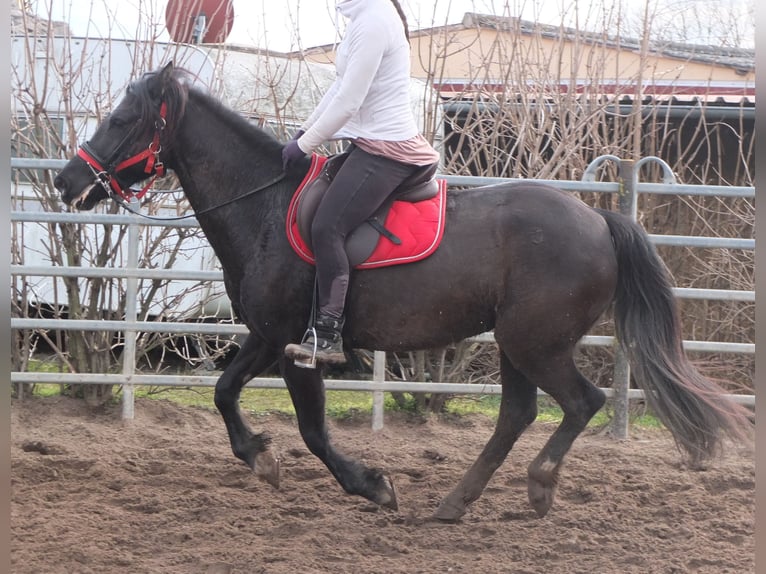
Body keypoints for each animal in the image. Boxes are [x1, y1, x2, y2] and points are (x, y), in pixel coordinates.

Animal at [57, 65, 752, 524]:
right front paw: (260, 457)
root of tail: (600, 220)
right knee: (518, 413)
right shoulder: (267, 334)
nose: (67, 183)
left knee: (582, 402)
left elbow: (311, 428)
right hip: (514, 343)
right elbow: (225, 391)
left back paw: (536, 486)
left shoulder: (296, 344)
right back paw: (454, 502)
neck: (265, 205)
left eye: (122, 118)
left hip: (535, 341)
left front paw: (369, 484)